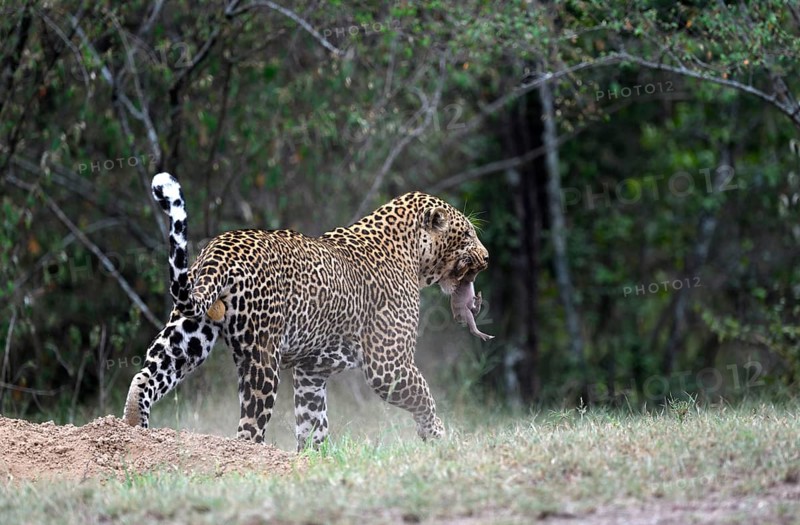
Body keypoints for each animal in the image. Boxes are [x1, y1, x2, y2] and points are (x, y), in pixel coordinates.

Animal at [123, 172, 490, 450]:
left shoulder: (311, 371)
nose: (487, 257)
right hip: (262, 355)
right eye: (468, 234)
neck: (410, 252)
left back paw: (132, 432)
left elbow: (313, 421)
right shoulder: (388, 364)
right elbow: (423, 395)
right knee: (248, 428)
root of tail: (219, 249)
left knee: (145, 376)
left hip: (189, 331)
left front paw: (314, 459)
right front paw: (438, 436)